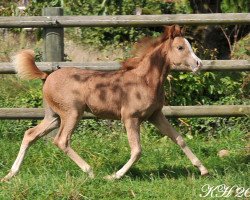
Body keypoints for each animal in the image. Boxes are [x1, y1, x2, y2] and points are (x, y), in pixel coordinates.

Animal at [1, 25, 208, 181]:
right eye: (180, 47)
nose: (199, 64)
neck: (145, 80)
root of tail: (47, 76)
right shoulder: (130, 118)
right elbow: (137, 150)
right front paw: (114, 176)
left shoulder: (155, 115)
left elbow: (179, 138)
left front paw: (203, 169)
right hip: (72, 113)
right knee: (61, 140)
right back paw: (90, 171)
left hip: (54, 116)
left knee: (30, 134)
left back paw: (10, 175)